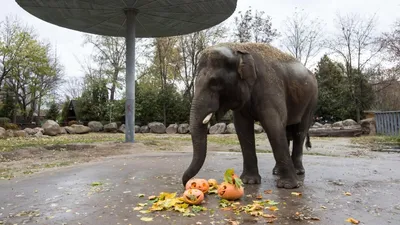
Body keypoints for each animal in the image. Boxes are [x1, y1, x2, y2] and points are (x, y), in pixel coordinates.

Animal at [184, 41, 318, 188]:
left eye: (215, 82)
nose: (187, 183)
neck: (238, 49)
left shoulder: (270, 85)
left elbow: (274, 126)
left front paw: (288, 186)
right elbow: (242, 128)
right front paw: (248, 182)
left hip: (311, 100)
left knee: (300, 131)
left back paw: (298, 172)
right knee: (288, 132)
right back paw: (277, 171)